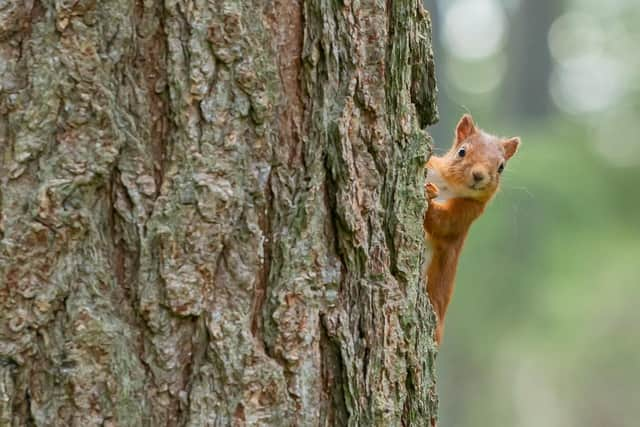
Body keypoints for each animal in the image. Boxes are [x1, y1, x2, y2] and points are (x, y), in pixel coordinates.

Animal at [424, 113, 520, 344]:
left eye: (501, 167)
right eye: (462, 151)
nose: (478, 175)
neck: (449, 186)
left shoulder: (467, 213)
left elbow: (443, 224)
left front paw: (428, 201)